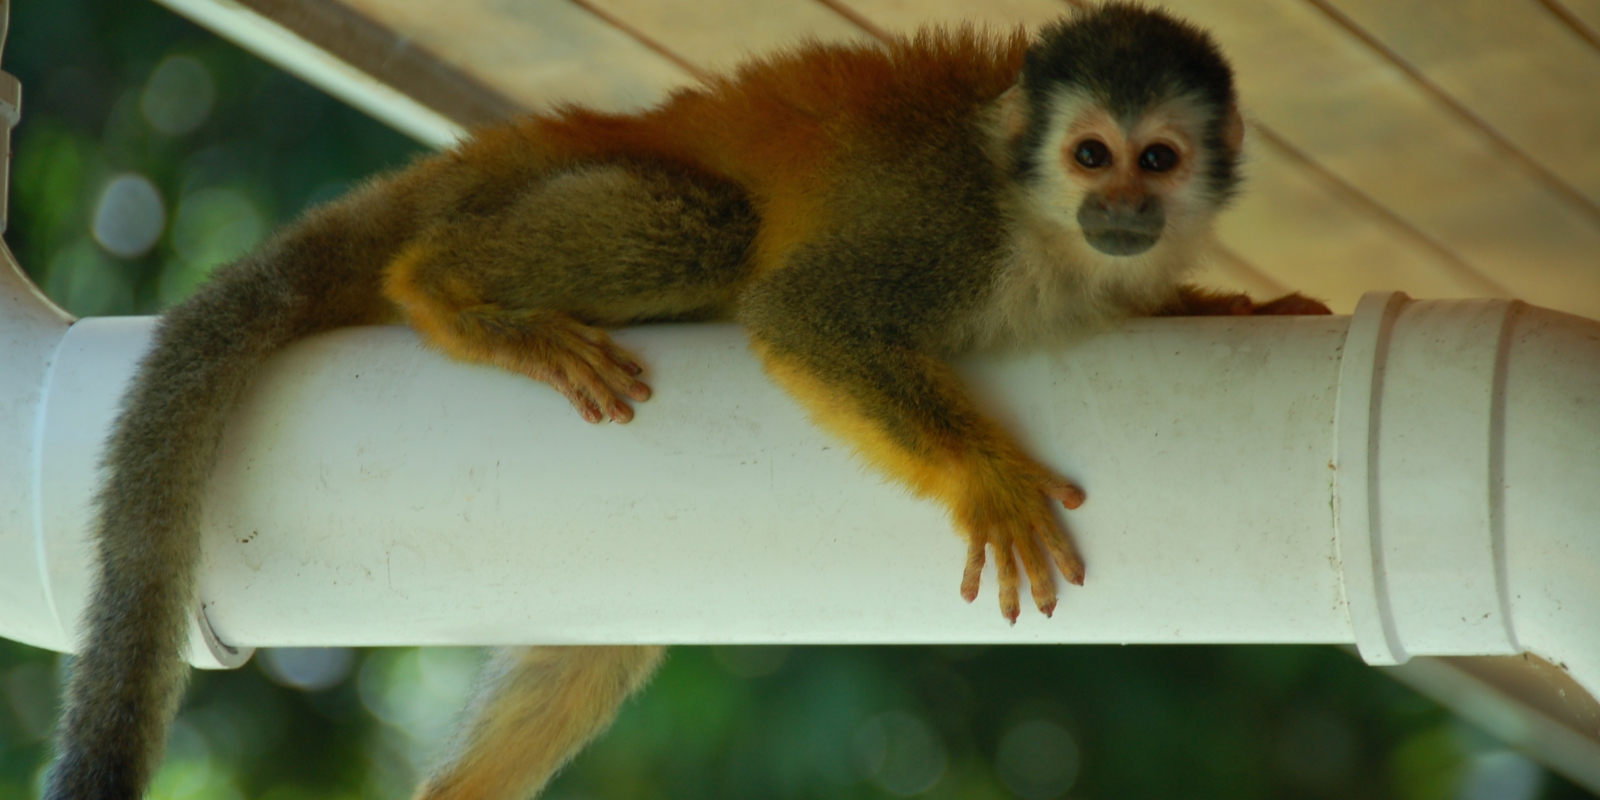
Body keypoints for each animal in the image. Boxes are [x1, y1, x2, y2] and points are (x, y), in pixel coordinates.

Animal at [43, 5, 1331, 800]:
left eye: (1156, 160)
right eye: (1090, 155)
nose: (1125, 209)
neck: (1047, 233)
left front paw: (1231, 305)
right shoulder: (950, 225)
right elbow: (809, 315)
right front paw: (987, 476)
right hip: (561, 191)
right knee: (715, 229)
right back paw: (447, 291)